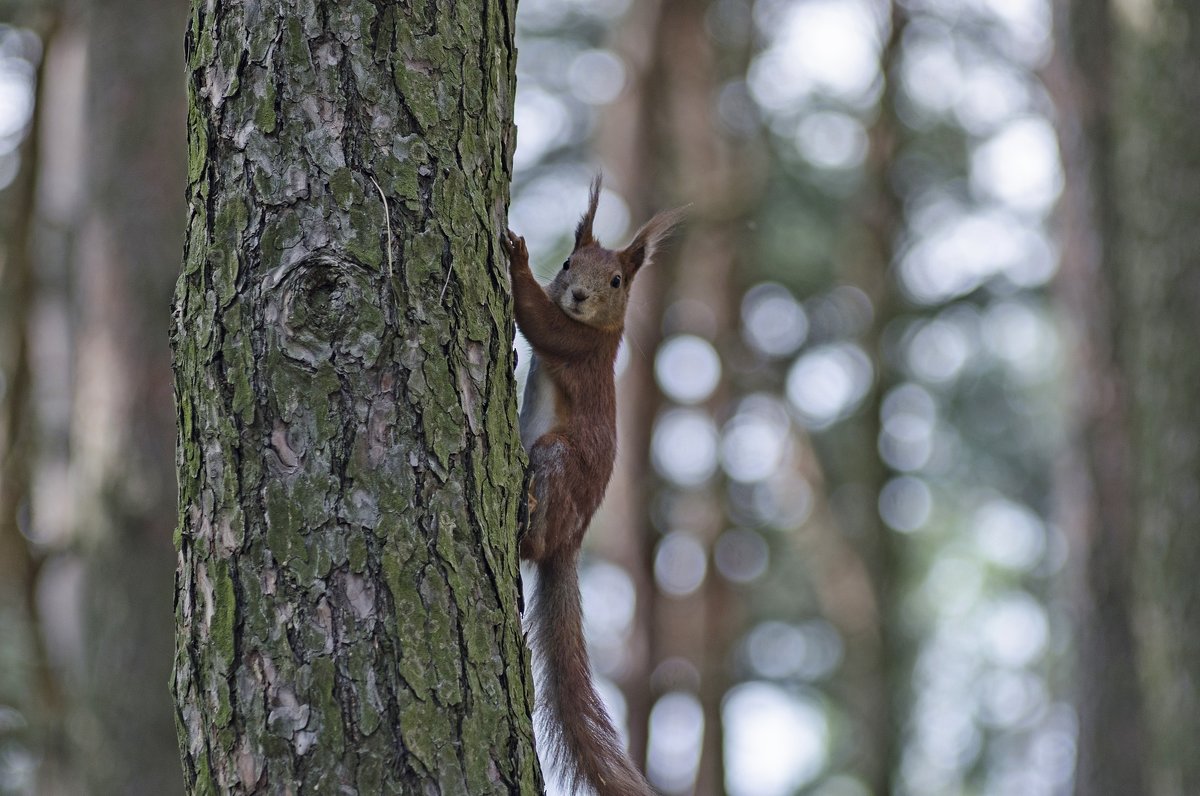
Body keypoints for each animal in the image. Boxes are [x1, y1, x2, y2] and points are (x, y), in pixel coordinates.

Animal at [501, 178, 681, 796]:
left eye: (617, 280)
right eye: (568, 263)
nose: (578, 295)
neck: (600, 327)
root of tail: (570, 541)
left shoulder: (580, 347)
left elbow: (538, 320)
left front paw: (516, 258)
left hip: (556, 458)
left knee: (535, 540)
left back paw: (528, 524)